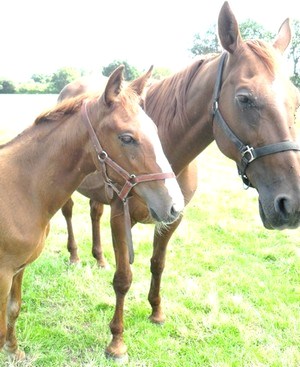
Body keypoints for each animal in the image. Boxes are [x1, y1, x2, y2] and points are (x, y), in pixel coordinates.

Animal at [0, 67, 183, 362]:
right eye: (126, 137)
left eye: (155, 130)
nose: (174, 205)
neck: (21, 187)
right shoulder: (4, 273)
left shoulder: (18, 269)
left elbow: (13, 309)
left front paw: (13, 351)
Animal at [58, 0, 300, 362]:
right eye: (244, 98)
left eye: (295, 100)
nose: (291, 204)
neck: (165, 149)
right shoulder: (121, 216)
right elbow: (124, 277)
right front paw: (117, 342)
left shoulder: (173, 217)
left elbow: (157, 264)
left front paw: (156, 312)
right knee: (70, 213)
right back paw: (75, 256)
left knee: (93, 213)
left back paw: (98, 258)